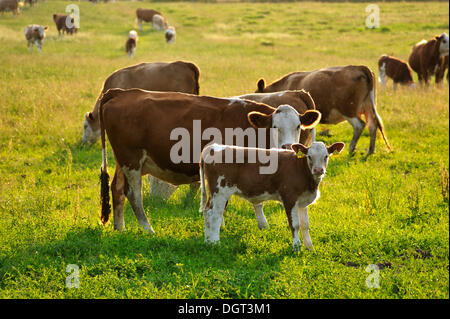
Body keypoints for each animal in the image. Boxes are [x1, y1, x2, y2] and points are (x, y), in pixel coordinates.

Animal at [98, 89, 322, 234]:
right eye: (274, 126)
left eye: (298, 126)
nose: (287, 147)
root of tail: (122, 92)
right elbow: (223, 203)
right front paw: (219, 227)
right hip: (131, 159)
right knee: (134, 194)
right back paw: (147, 228)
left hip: (124, 161)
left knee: (117, 189)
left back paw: (120, 228)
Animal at [199, 142, 342, 250]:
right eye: (309, 156)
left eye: (326, 156)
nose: (318, 170)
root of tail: (213, 147)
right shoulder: (289, 198)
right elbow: (295, 224)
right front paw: (297, 247)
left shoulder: (303, 201)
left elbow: (305, 225)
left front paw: (309, 247)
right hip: (220, 193)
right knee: (215, 216)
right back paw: (215, 243)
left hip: (214, 194)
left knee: (207, 212)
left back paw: (207, 241)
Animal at [256, 65, 390, 155]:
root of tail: (360, 67)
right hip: (368, 106)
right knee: (372, 125)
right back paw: (370, 151)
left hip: (348, 109)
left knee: (359, 125)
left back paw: (351, 148)